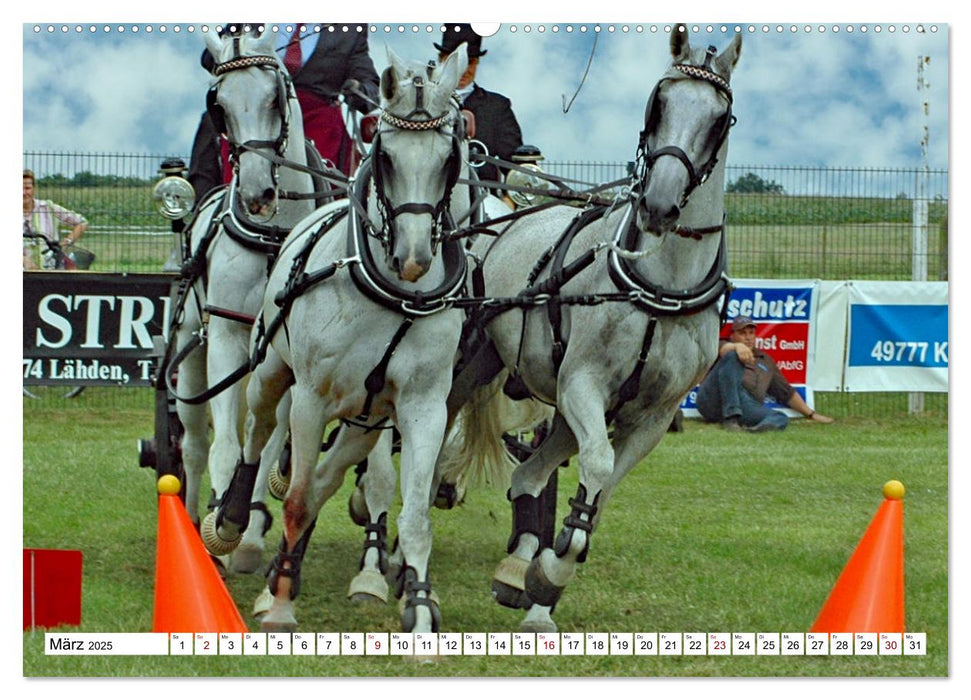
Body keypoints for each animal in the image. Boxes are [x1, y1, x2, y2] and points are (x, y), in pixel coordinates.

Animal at [175, 27, 322, 576]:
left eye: (275, 96)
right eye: (218, 105)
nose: (258, 192)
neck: (277, 237)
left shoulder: (291, 358)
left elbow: (271, 435)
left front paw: (251, 528)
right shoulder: (228, 332)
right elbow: (225, 443)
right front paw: (219, 523)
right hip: (191, 350)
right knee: (194, 442)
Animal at [218, 45, 480, 636]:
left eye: (450, 158)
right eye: (385, 156)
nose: (414, 258)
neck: (393, 294)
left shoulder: (424, 405)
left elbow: (414, 513)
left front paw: (419, 610)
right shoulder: (311, 398)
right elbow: (293, 500)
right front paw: (281, 605)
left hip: (368, 417)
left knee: (325, 476)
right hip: (271, 373)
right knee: (256, 437)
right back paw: (233, 523)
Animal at [448, 27, 744, 632]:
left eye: (720, 119)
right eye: (658, 103)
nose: (659, 204)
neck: (660, 284)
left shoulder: (651, 416)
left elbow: (600, 492)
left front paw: (544, 581)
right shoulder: (583, 384)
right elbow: (600, 466)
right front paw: (547, 574)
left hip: (560, 409)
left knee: (529, 477)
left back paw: (522, 576)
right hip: (476, 364)